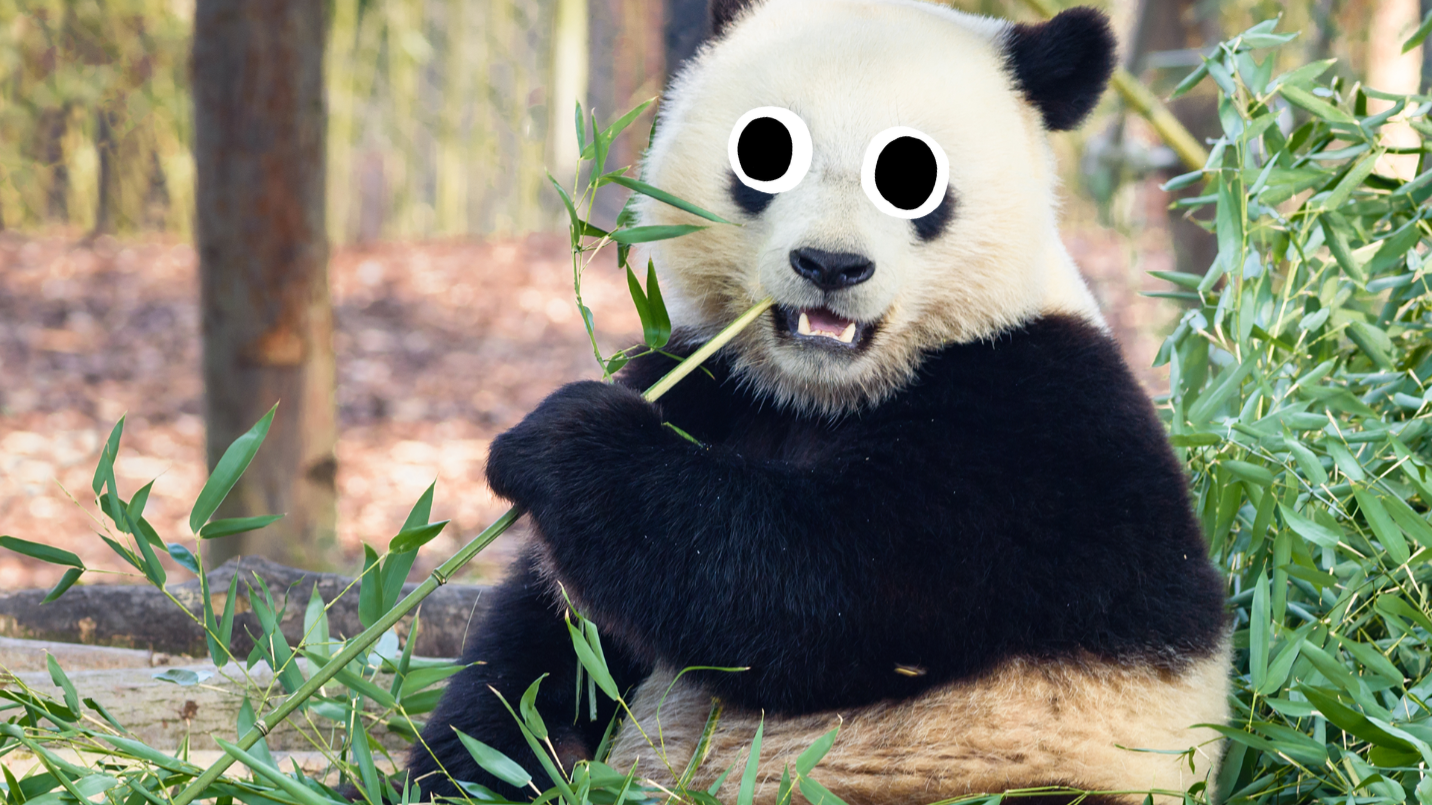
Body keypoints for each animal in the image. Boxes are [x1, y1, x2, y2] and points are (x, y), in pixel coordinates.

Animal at [407, 0, 1231, 802]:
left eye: (915, 178)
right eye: (765, 154)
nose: (832, 265)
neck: (822, 390)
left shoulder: (1038, 422)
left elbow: (819, 590)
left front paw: (562, 438)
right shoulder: (710, 381)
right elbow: (553, 647)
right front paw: (472, 766)